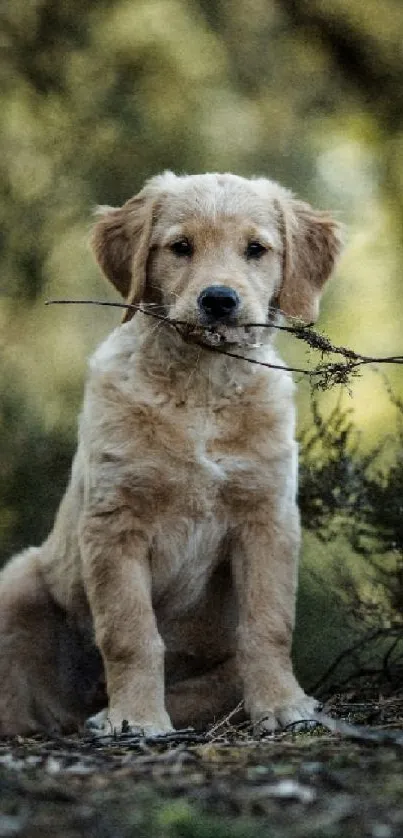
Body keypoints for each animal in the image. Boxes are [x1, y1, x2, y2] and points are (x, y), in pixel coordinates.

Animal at [0, 172, 342, 736]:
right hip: (19, 581)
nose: (219, 300)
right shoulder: (114, 524)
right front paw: (136, 718)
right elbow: (130, 632)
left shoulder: (266, 518)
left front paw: (282, 705)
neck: (200, 388)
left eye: (256, 249)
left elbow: (269, 624)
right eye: (181, 247)